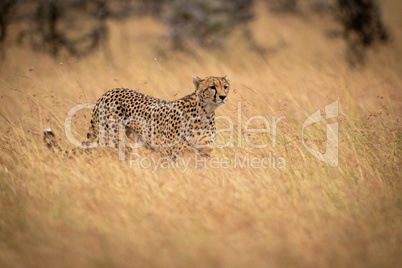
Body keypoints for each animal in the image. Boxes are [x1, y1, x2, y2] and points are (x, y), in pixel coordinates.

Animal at [44, 75, 229, 159]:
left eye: (225, 86)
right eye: (212, 87)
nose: (222, 96)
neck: (205, 112)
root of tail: (107, 93)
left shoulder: (204, 150)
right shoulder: (170, 151)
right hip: (115, 139)